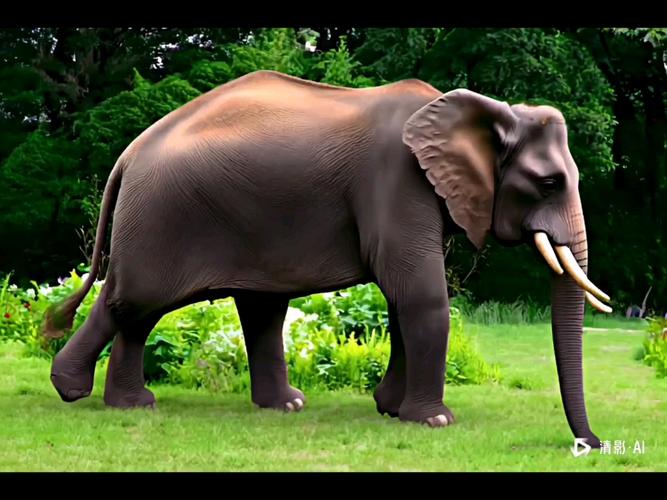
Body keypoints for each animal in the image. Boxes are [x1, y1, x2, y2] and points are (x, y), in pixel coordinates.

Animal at [44, 69, 612, 447]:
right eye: (548, 183)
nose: (591, 445)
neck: (483, 108)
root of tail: (129, 154)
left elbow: (401, 298)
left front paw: (391, 410)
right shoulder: (397, 181)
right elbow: (418, 291)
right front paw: (434, 421)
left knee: (208, 310)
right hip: (162, 218)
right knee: (133, 300)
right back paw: (74, 390)